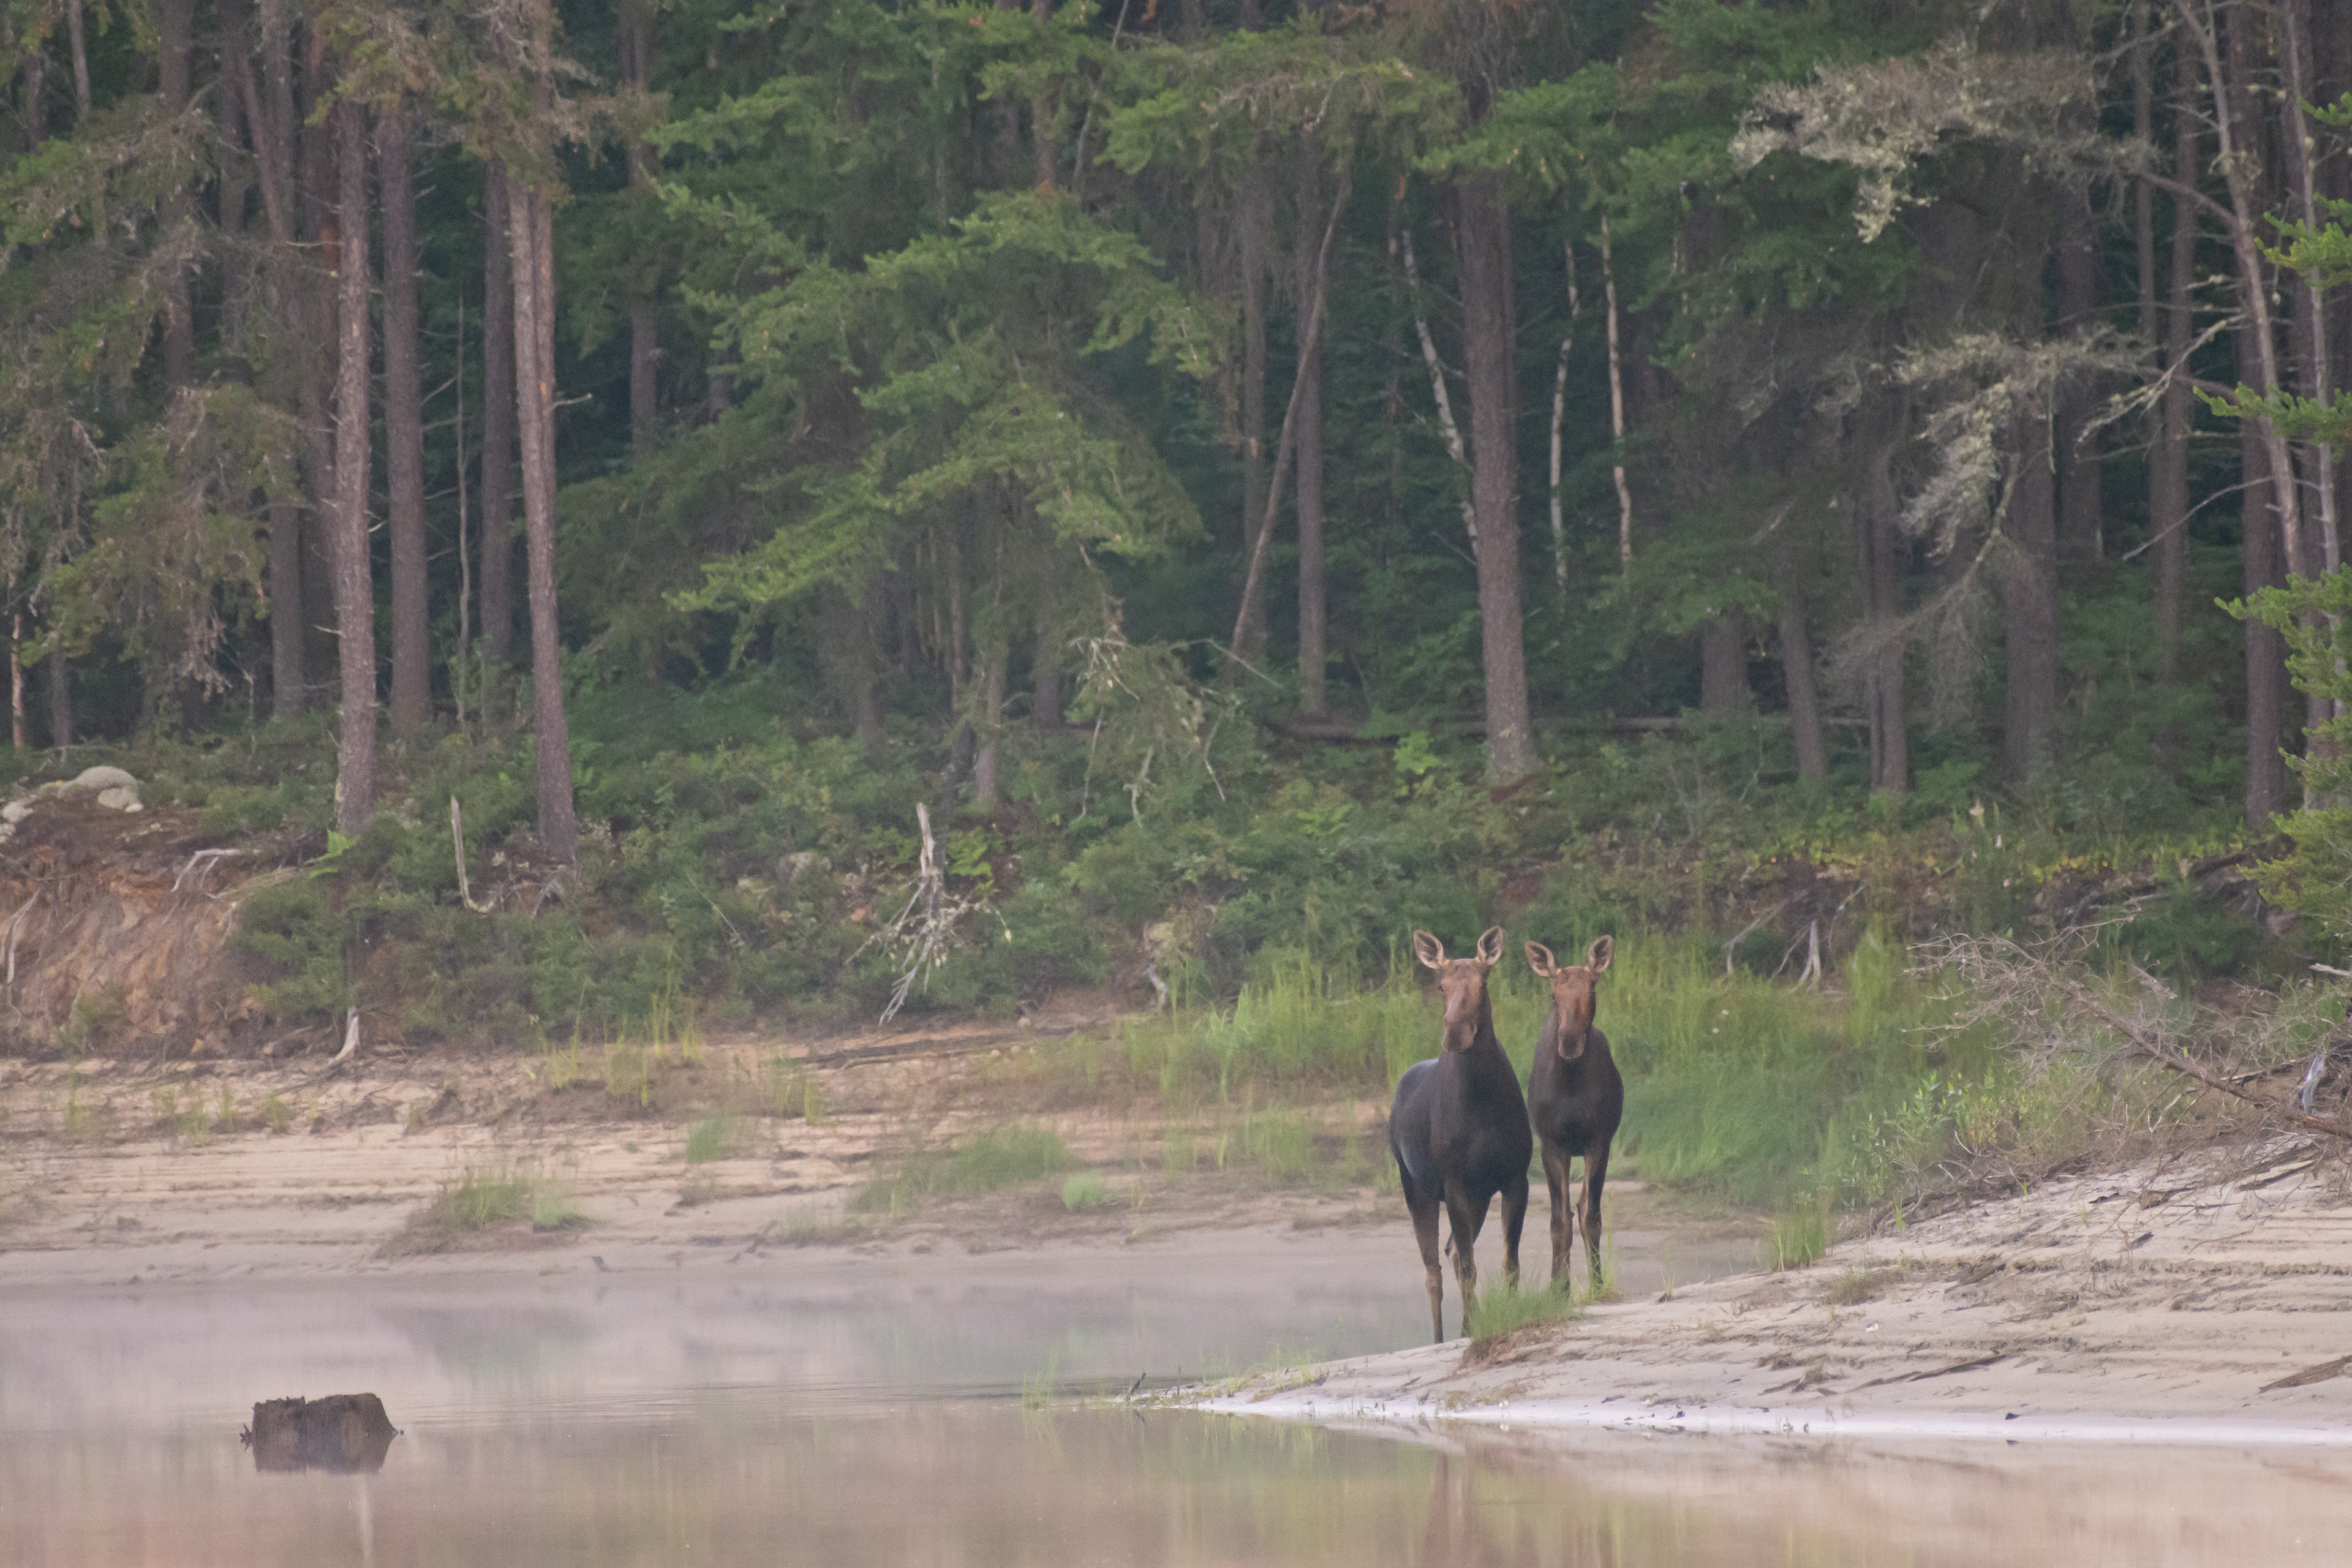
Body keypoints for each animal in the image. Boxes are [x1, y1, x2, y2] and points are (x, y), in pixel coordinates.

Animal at [1387, 926, 1531, 1343]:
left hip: (1478, 1197)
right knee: (1434, 1270)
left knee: (1450, 1254)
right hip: (1415, 1186)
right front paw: (1468, 1332)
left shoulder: (1515, 1177)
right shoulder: (1454, 1185)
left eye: (1483, 982)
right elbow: (1469, 1268)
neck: (1481, 1100)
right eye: (1441, 985)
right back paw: (1439, 1339)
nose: (1455, 1033)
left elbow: (1509, 1263)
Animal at [1524, 936, 1624, 1297]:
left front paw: (1597, 1285)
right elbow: (1559, 1220)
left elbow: (1590, 1216)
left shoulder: (1599, 1141)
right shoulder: (1552, 1144)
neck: (1570, 1084)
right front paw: (1558, 1289)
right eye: (1554, 995)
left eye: (1592, 991)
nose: (1568, 1041)